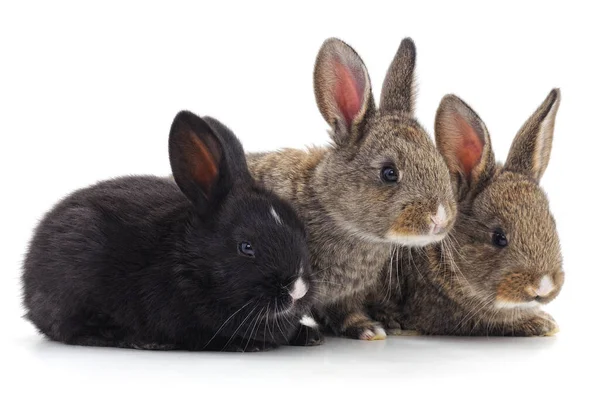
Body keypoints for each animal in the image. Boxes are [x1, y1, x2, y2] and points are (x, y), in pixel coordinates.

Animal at [22, 111, 318, 352]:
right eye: (246, 247)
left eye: (302, 232)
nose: (298, 290)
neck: (191, 263)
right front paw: (247, 344)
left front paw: (309, 336)